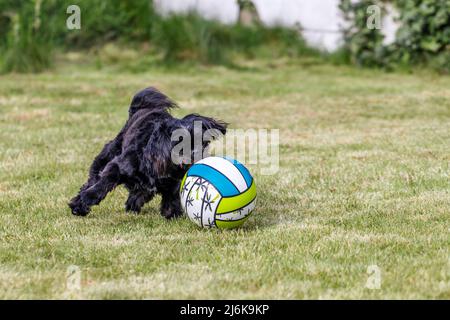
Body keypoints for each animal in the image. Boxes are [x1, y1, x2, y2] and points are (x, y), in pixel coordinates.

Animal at [68, 87, 227, 218]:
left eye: (202, 142)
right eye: (181, 143)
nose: (197, 154)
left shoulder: (174, 182)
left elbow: (172, 197)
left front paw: (172, 214)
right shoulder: (117, 166)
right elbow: (103, 184)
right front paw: (85, 200)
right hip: (107, 155)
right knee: (93, 179)